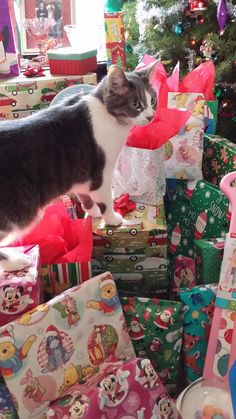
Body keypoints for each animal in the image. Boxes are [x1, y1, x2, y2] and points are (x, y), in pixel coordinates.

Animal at [0, 63, 159, 272]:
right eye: (135, 104)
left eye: (153, 100)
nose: (150, 116)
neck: (108, 115)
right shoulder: (102, 173)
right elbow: (105, 199)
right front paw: (112, 219)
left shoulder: (80, 174)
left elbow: (85, 195)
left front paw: (92, 212)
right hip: (15, 215)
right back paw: (15, 261)